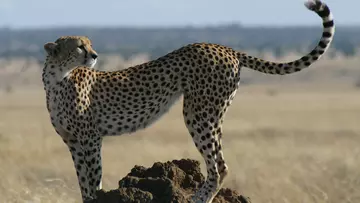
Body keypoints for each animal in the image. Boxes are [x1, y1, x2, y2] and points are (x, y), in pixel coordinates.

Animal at [42, 0, 334, 202]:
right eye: (79, 46)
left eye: (89, 44)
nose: (94, 55)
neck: (57, 78)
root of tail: (224, 48)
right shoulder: (73, 141)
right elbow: (83, 178)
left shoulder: (91, 138)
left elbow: (94, 177)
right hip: (210, 113)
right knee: (219, 161)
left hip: (199, 112)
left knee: (219, 165)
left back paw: (200, 198)